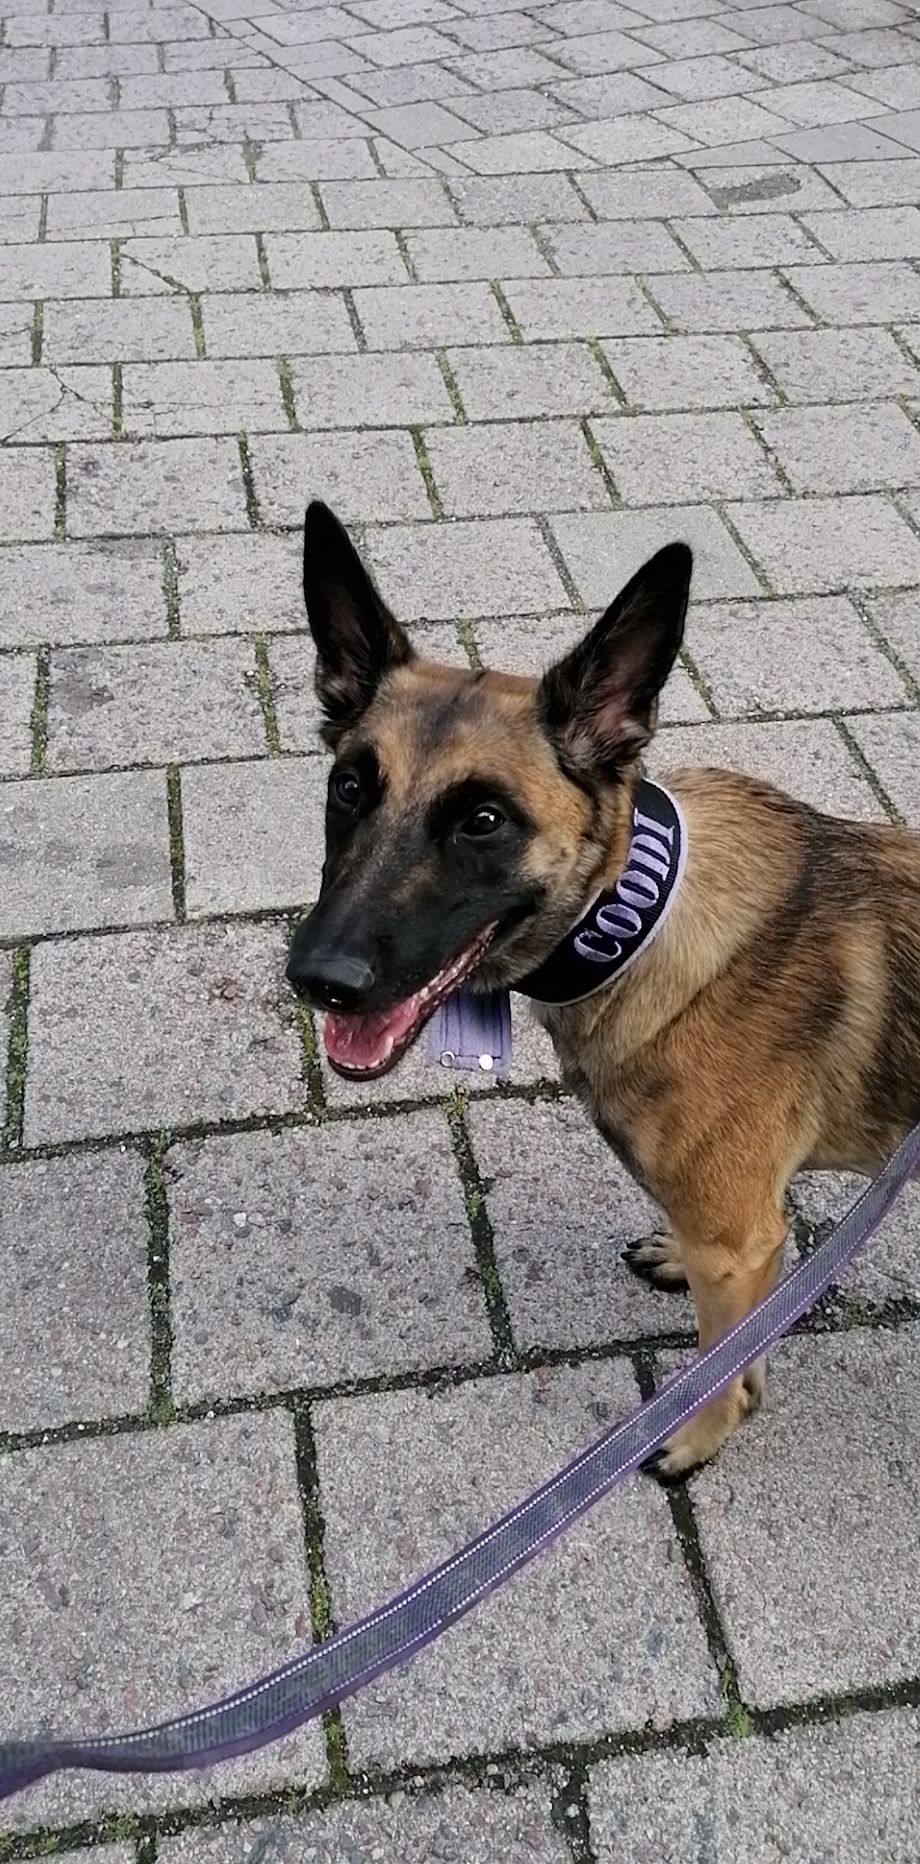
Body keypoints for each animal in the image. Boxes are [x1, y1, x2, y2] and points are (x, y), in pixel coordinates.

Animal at [286, 500, 920, 1480]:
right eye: (349, 787)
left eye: (483, 820)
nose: (320, 980)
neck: (632, 921)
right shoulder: (741, 1242)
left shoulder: (735, 1240)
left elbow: (720, 1365)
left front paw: (696, 1433)